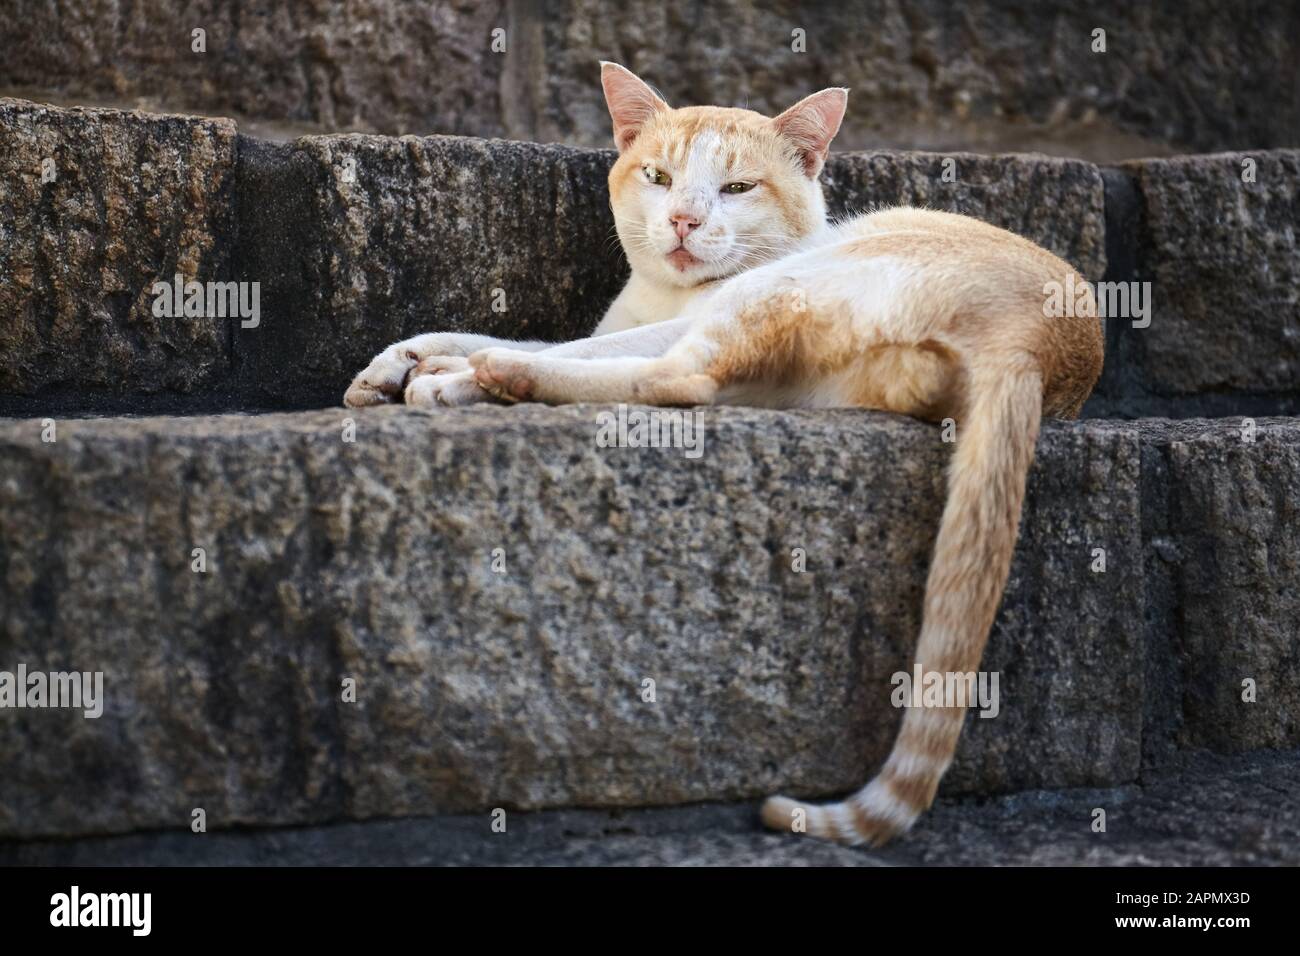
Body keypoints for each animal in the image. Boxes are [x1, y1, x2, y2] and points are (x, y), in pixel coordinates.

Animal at [343, 63, 1097, 848]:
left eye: (737, 188)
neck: (661, 295)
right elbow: (486, 332)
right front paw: (391, 365)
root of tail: (1034, 346)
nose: (683, 220)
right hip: (799, 379)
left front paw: (444, 376)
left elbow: (562, 347)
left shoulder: (686, 318)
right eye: (658, 176)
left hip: (780, 290)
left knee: (675, 378)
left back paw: (488, 379)